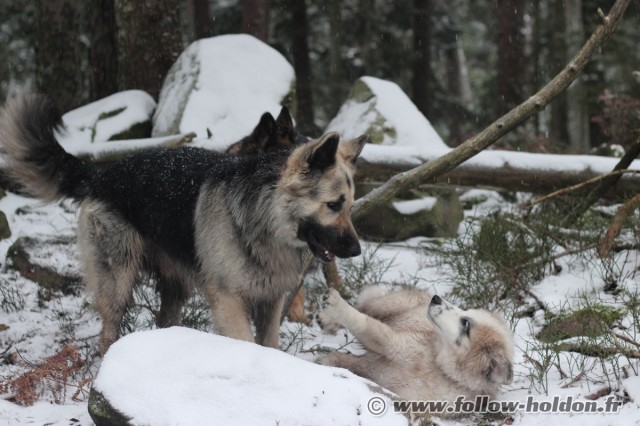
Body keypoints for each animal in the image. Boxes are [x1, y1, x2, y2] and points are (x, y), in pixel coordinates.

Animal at [0, 95, 368, 352]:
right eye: (333, 205)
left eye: (349, 206)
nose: (356, 250)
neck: (262, 216)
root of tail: (101, 174)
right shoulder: (229, 300)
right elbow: (246, 342)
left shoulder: (271, 302)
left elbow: (270, 344)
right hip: (118, 281)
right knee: (109, 329)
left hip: (176, 284)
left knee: (165, 319)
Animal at [316, 286, 516, 416]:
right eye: (466, 310)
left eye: (465, 323)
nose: (436, 298)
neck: (439, 369)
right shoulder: (392, 344)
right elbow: (365, 324)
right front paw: (336, 306)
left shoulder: (379, 373)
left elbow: (352, 360)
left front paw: (327, 362)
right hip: (388, 305)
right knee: (364, 307)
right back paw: (327, 318)